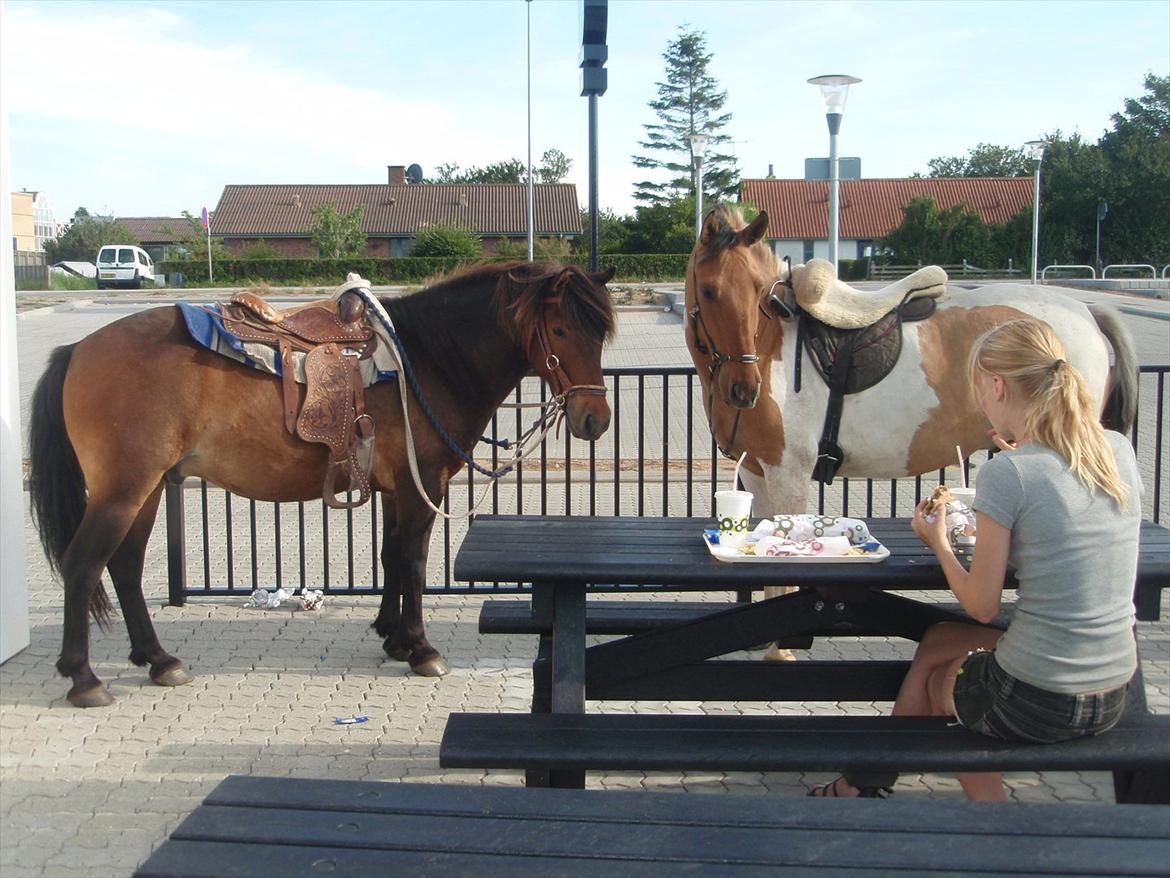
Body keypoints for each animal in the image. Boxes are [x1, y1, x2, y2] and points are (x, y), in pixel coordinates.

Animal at [27, 261, 617, 707]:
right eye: (561, 331)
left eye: (600, 335)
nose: (595, 420)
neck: (426, 361)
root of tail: (78, 349)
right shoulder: (421, 485)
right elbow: (415, 561)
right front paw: (421, 648)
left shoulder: (394, 489)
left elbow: (391, 557)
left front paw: (393, 638)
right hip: (123, 491)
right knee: (84, 566)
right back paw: (84, 678)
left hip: (146, 490)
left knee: (124, 567)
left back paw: (157, 660)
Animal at [683, 203, 1132, 566]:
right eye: (709, 290)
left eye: (761, 293)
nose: (744, 389)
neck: (771, 344)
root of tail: (1086, 312)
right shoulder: (757, 470)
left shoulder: (789, 473)